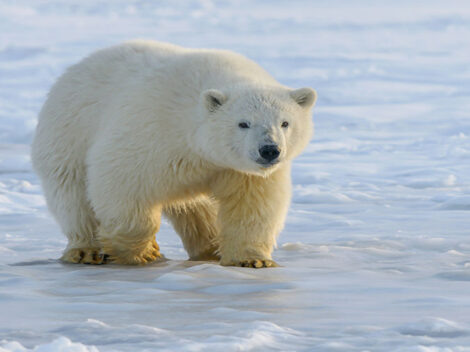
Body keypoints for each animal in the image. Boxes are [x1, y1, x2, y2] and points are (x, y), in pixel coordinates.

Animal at [31, 40, 318, 268]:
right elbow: (120, 180)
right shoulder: (152, 130)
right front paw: (144, 252)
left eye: (285, 123)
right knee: (73, 196)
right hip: (68, 134)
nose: (269, 150)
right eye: (243, 123)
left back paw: (209, 248)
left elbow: (252, 205)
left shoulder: (237, 170)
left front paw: (252, 260)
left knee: (196, 209)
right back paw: (85, 250)